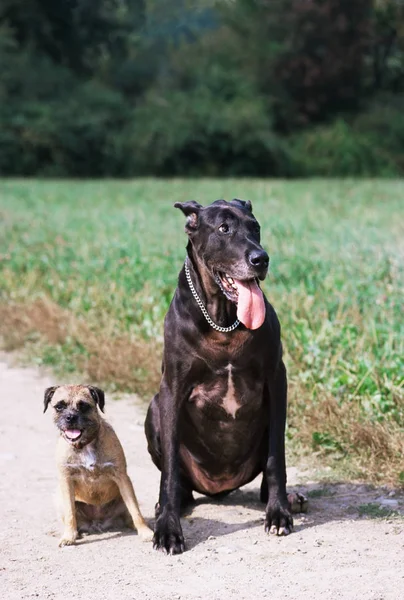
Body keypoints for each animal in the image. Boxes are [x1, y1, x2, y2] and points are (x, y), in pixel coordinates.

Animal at [43, 384, 152, 548]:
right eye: (59, 406)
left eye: (84, 406)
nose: (70, 417)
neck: (85, 444)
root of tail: (97, 523)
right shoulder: (66, 480)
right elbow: (70, 513)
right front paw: (69, 536)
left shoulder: (122, 477)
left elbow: (135, 510)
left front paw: (145, 532)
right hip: (58, 495)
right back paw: (76, 533)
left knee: (130, 514)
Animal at [144, 199, 304, 556]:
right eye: (224, 229)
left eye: (255, 227)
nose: (261, 259)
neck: (223, 320)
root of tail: (220, 487)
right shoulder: (172, 387)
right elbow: (170, 469)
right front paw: (168, 530)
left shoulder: (277, 379)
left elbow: (276, 458)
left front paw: (278, 513)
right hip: (153, 408)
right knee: (178, 483)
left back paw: (289, 498)